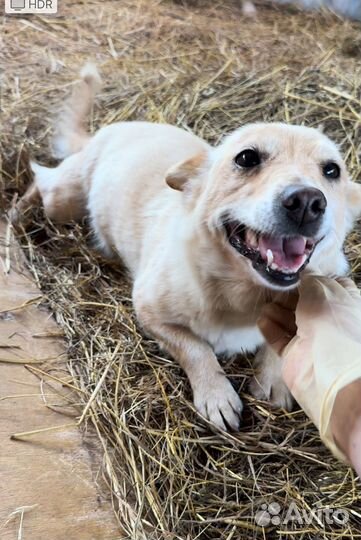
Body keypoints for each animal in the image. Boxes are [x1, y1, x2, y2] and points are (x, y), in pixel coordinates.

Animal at [16, 66, 361, 430]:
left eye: (332, 170)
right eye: (247, 158)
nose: (307, 202)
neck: (244, 294)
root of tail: (106, 131)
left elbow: (281, 343)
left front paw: (271, 380)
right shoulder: (148, 311)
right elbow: (196, 349)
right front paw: (216, 395)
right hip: (62, 203)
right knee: (40, 180)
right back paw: (17, 214)